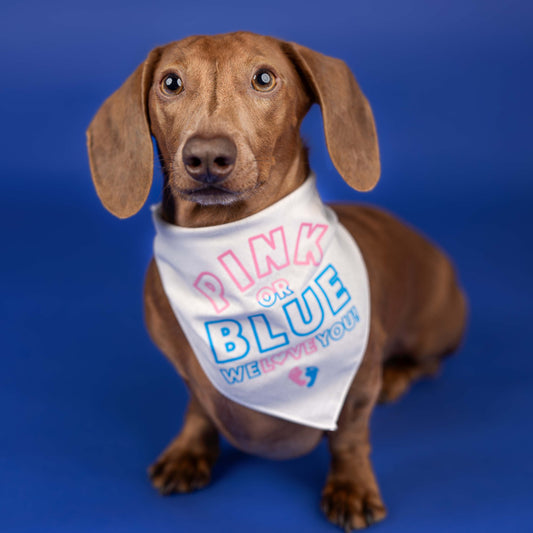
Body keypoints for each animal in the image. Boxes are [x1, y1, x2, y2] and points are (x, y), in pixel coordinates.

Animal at [86, 32, 466, 528]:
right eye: (170, 82)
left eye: (264, 78)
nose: (207, 156)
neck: (231, 238)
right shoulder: (190, 375)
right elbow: (199, 409)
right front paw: (189, 453)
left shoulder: (357, 384)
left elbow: (349, 437)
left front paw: (352, 488)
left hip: (430, 329)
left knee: (429, 362)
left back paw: (398, 376)